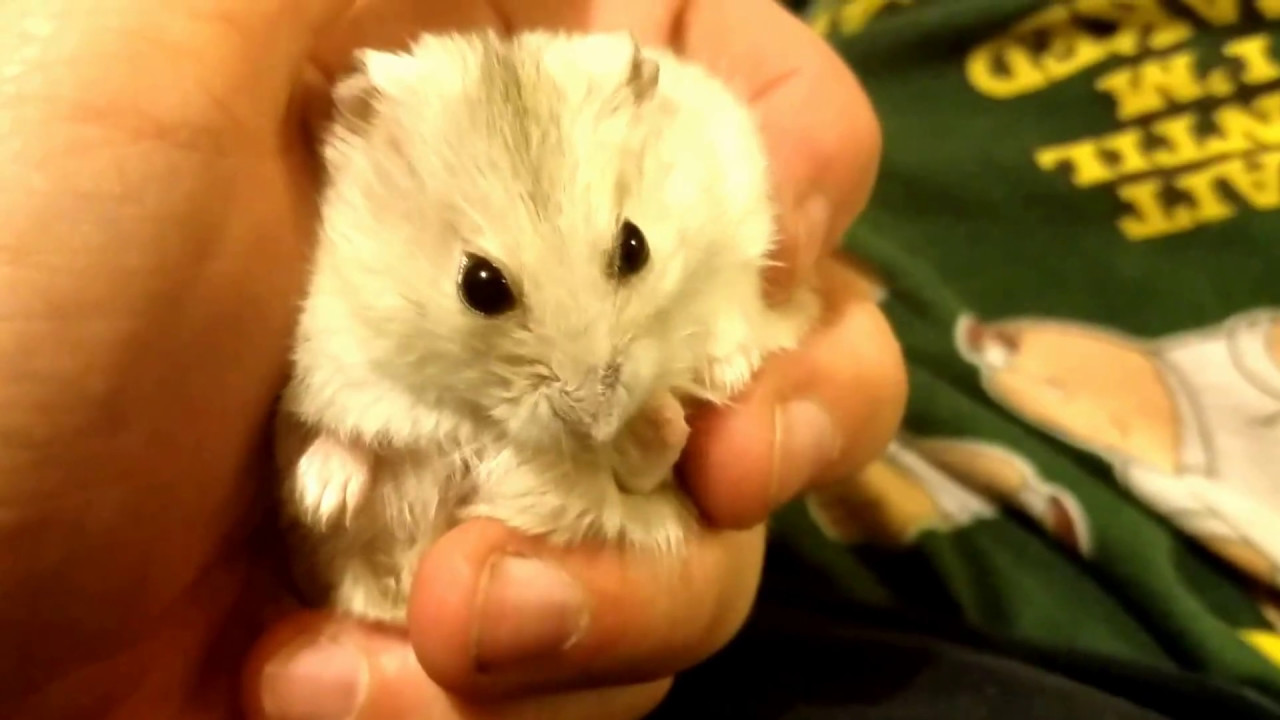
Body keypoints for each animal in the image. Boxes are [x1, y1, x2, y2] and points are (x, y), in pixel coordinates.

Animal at [274, 28, 820, 624]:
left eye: (635, 246)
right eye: (481, 286)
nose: (599, 423)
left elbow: (648, 467)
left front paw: (696, 393)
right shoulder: (339, 352)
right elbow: (346, 434)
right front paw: (321, 498)